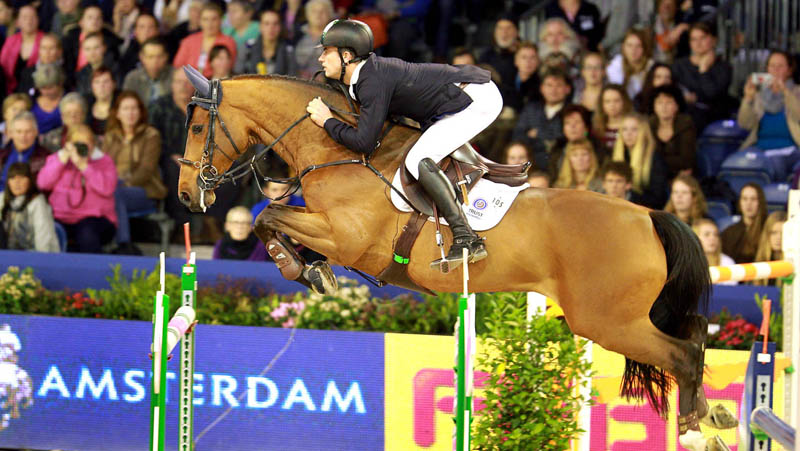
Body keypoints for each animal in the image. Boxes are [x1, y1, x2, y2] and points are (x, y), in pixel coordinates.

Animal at [178, 69, 736, 450]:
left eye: (198, 127)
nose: (186, 195)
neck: (335, 149)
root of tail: (649, 216)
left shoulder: (347, 237)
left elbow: (271, 216)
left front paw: (300, 267)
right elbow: (275, 218)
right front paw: (311, 269)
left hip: (606, 320)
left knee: (682, 354)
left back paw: (694, 431)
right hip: (624, 317)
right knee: (695, 332)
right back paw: (714, 417)